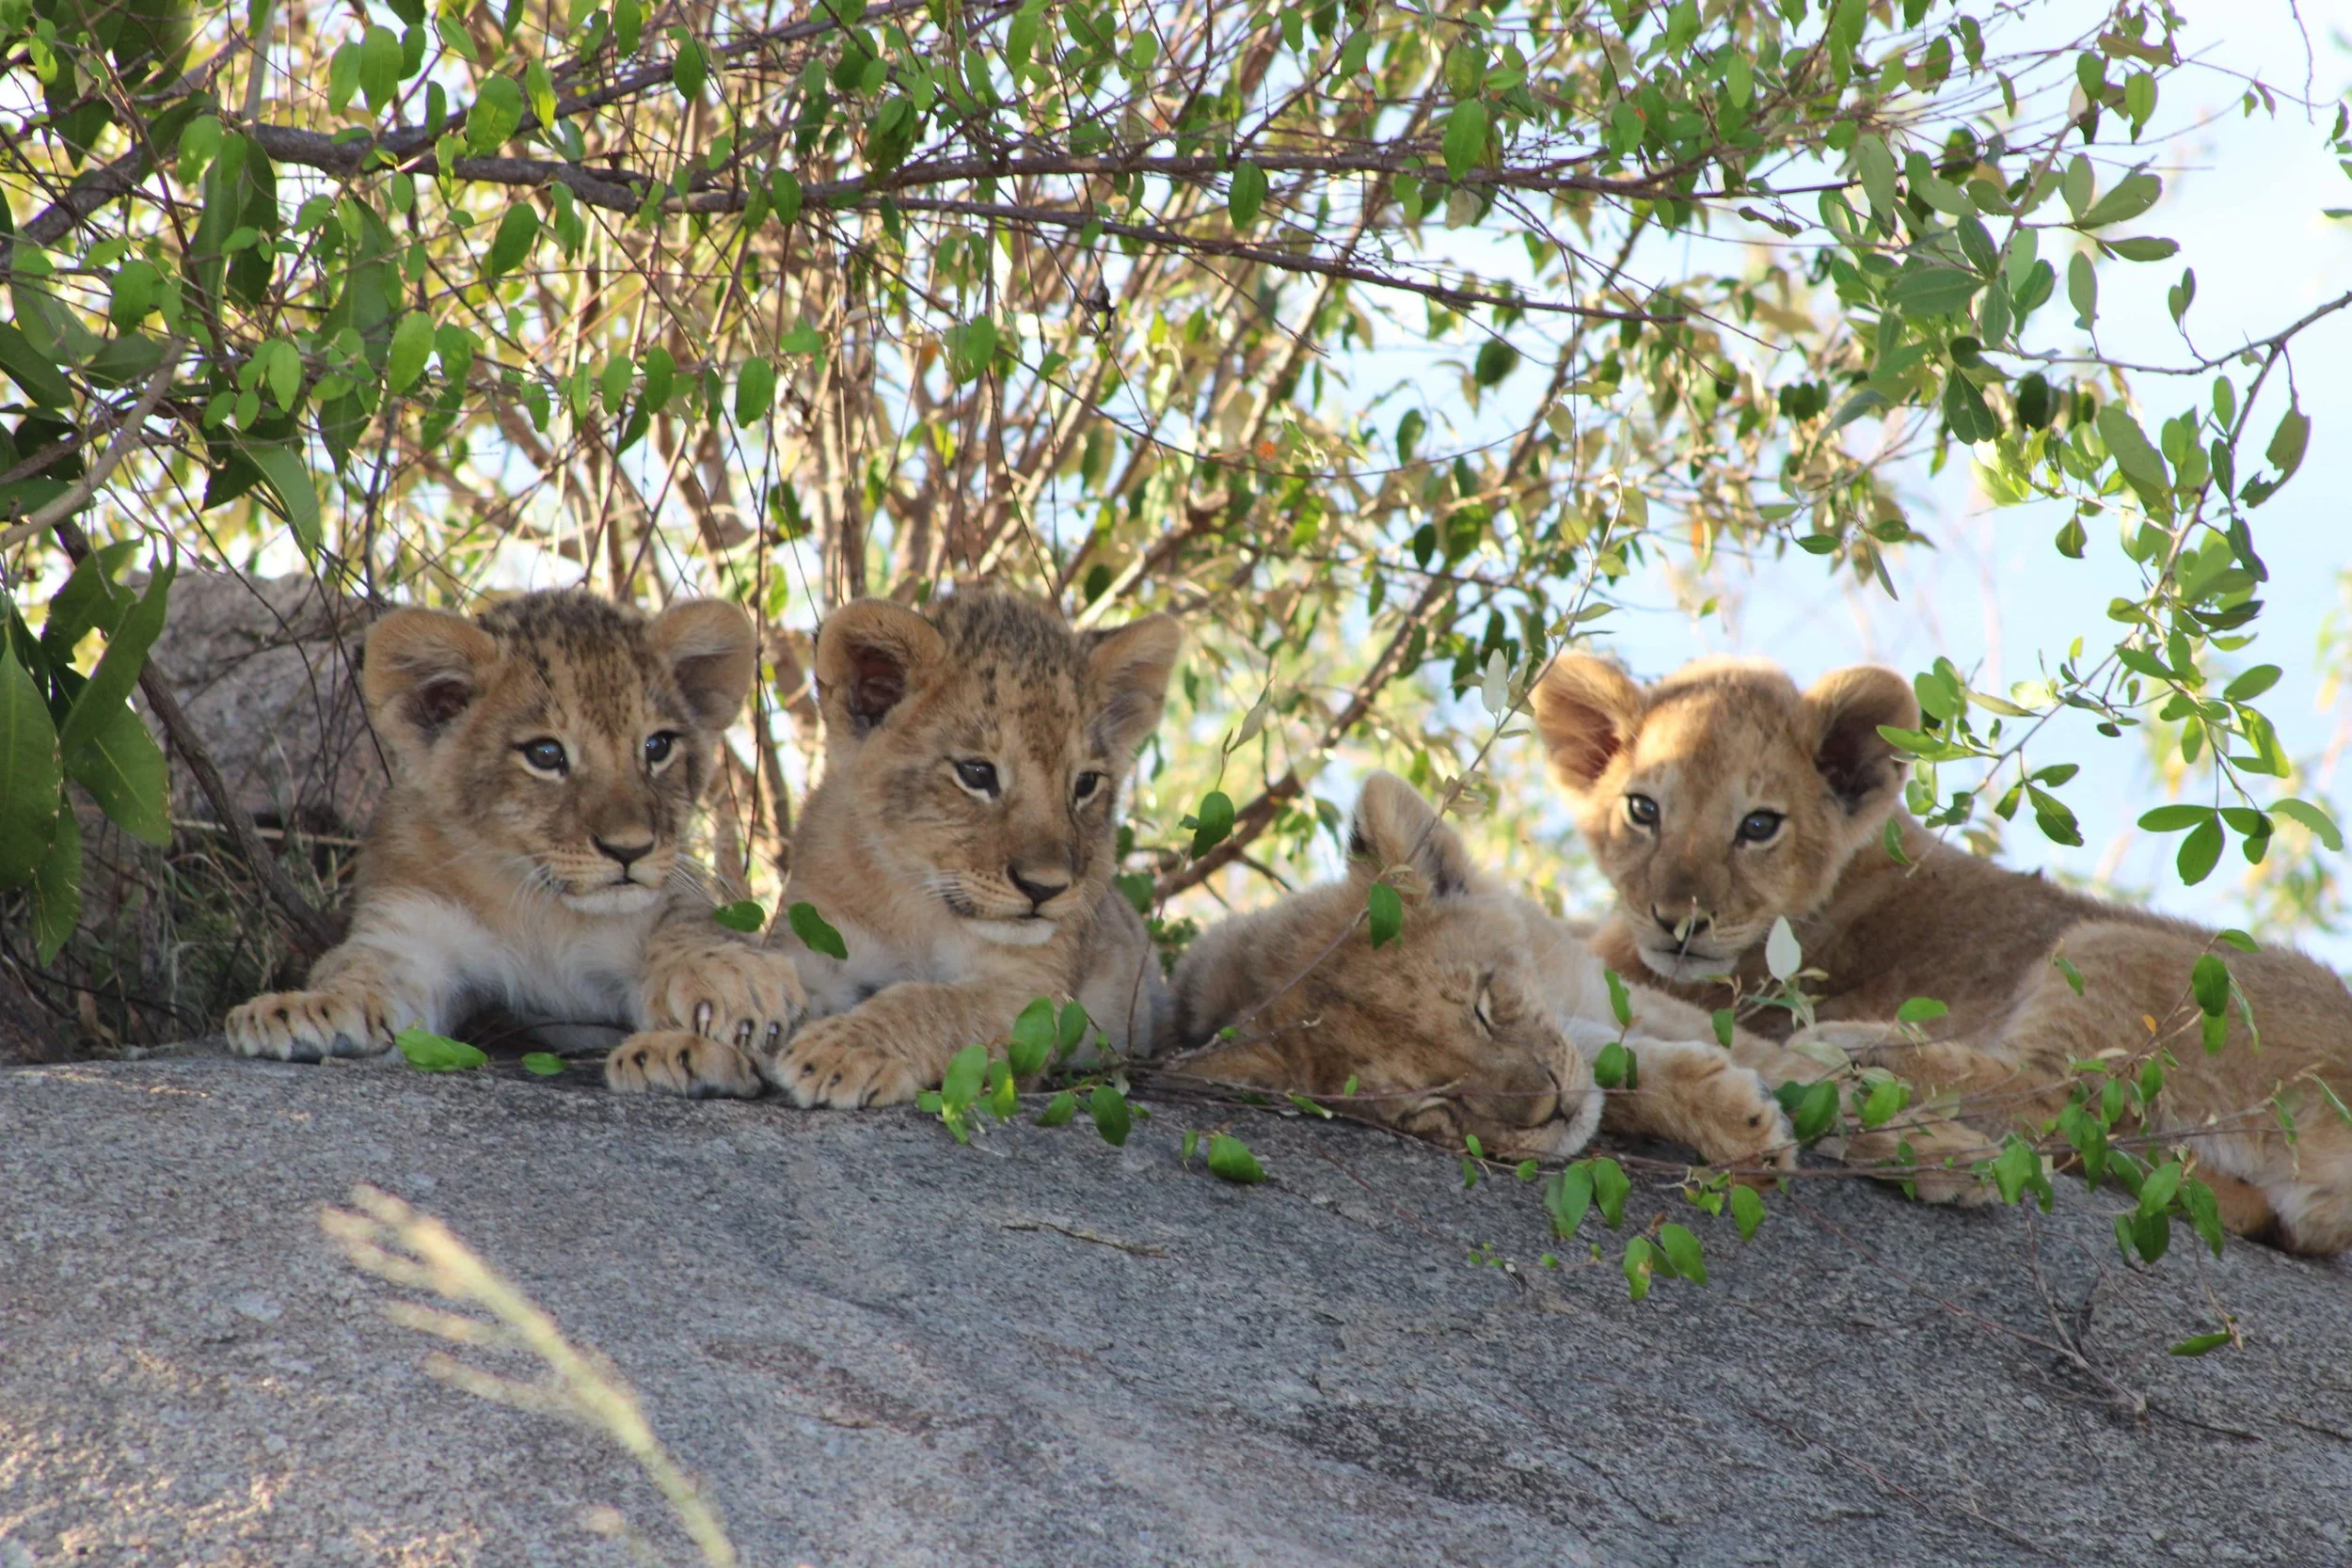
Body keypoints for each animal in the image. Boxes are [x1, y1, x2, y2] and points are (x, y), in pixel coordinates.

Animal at [227, 589, 804, 1070]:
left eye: (657, 746)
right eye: (546, 754)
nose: (630, 850)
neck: (539, 906)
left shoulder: (666, 907)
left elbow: (687, 931)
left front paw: (733, 980)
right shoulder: (411, 931)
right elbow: (359, 969)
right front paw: (305, 1009)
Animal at [607, 588, 1178, 1104]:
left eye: (1085, 784)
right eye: (977, 774)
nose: (1046, 889)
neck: (917, 901)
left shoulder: (1036, 995)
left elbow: (933, 1003)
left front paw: (842, 1052)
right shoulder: (817, 952)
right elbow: (776, 1001)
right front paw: (675, 1047)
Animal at [1164, 771, 1820, 1171]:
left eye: (1484, 1005)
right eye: (1434, 1102)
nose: (1552, 1110)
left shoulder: (1598, 988)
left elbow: (1756, 1052)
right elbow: (1626, 1077)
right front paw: (1743, 1125)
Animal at [1531, 652, 2352, 1254]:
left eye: (1759, 825)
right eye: (1643, 810)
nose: (1680, 923)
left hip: (2114, 944)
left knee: (2046, 1095)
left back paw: (1858, 1046)